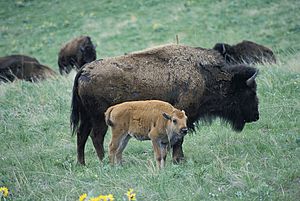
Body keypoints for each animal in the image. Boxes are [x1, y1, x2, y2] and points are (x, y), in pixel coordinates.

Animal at [71, 44, 260, 165]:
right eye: (250, 92)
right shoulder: (183, 117)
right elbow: (179, 140)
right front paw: (178, 160)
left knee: (81, 135)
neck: (204, 76)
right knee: (96, 136)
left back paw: (82, 164)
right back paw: (103, 161)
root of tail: (85, 69)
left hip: (87, 116)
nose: (256, 116)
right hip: (99, 118)